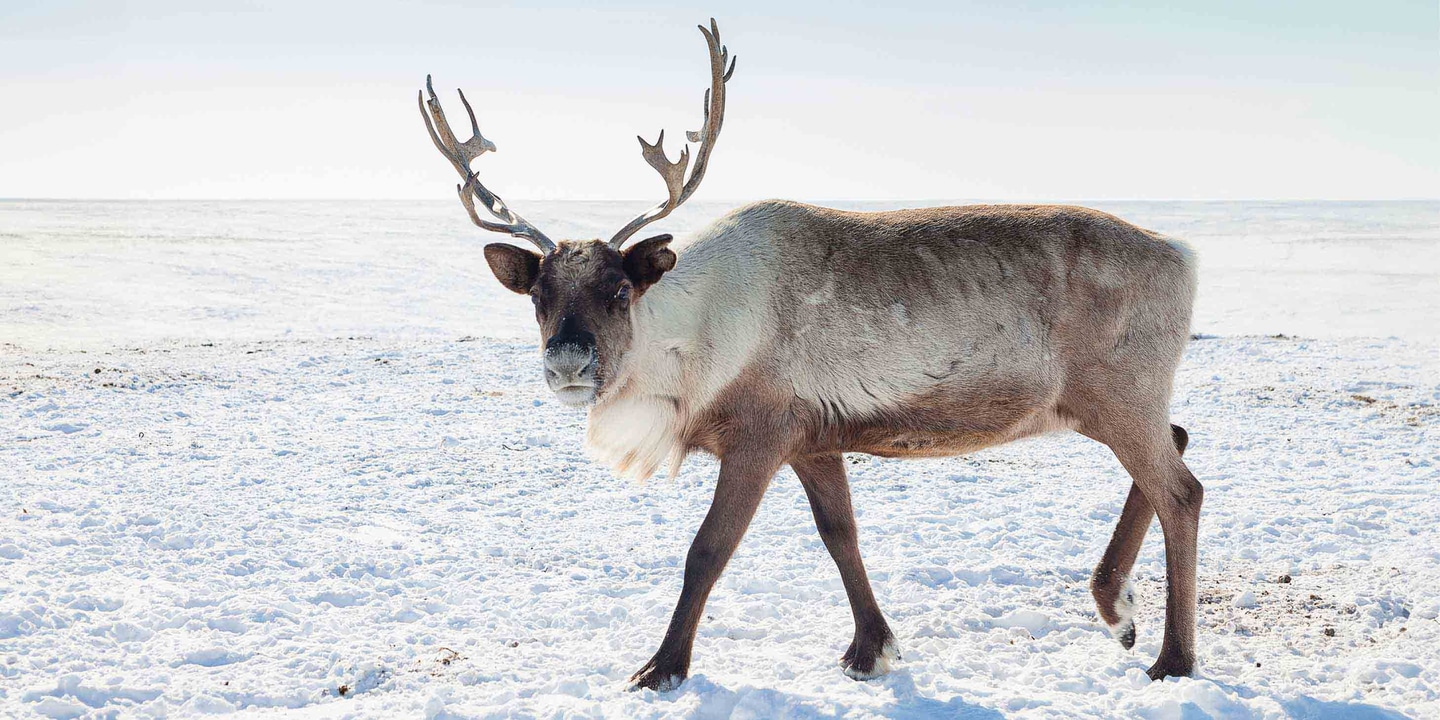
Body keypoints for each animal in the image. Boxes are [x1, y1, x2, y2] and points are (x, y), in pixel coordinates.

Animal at [418, 18, 1202, 692]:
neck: (687, 344)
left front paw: (662, 667)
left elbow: (707, 550)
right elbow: (840, 535)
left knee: (1183, 491)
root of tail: (1183, 255)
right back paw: (1117, 609)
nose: (569, 365)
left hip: (1118, 395)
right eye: (537, 294)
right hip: (1106, 404)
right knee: (1180, 441)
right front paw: (870, 648)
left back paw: (1173, 656)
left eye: (617, 289)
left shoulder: (759, 435)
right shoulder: (814, 439)